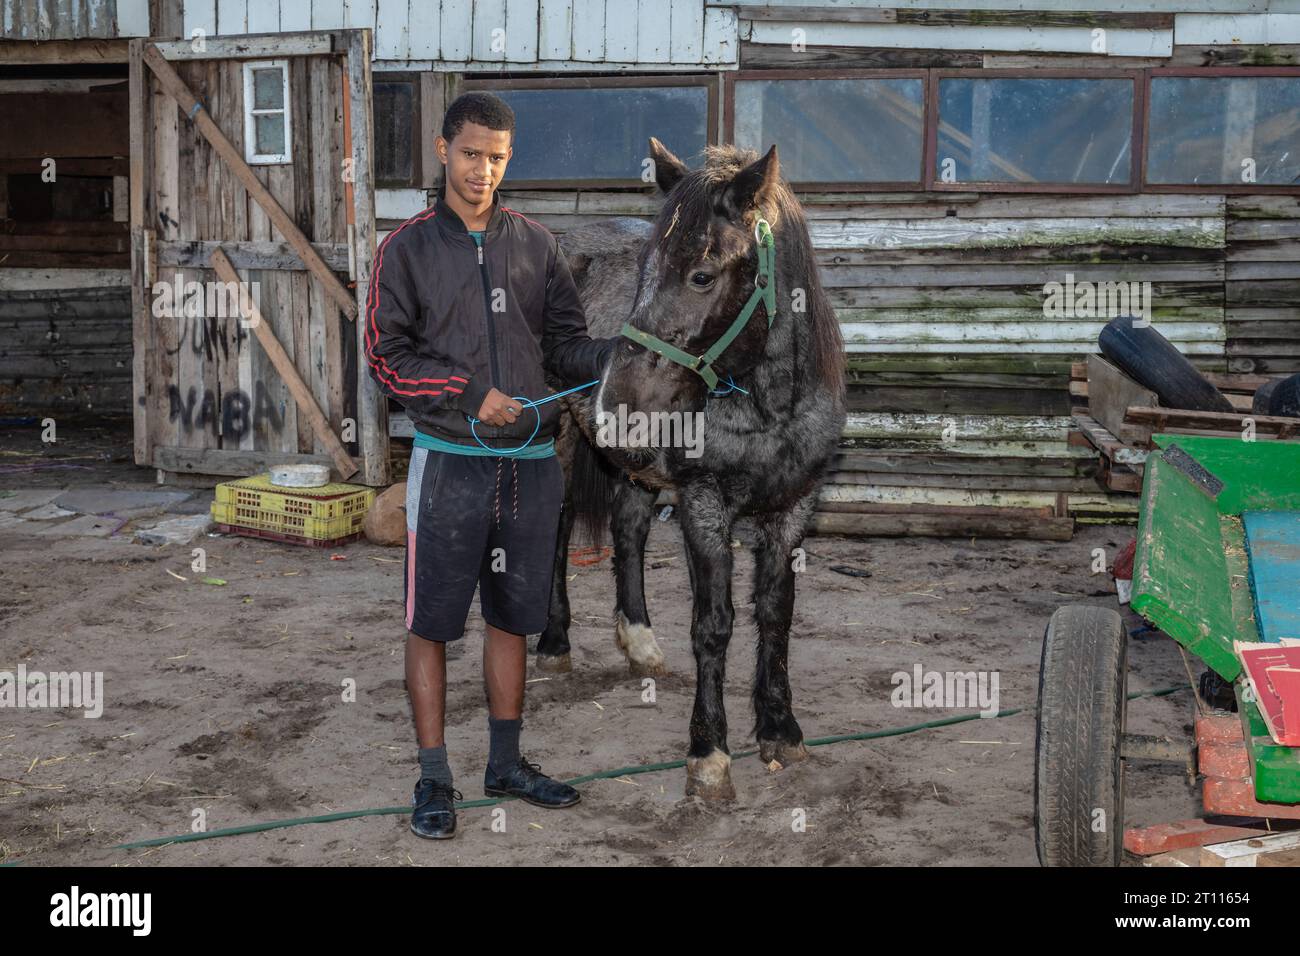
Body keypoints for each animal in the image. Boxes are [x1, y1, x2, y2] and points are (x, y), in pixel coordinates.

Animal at [535, 140, 842, 801]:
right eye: (644, 271)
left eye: (702, 274)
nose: (616, 402)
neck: (767, 407)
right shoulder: (704, 505)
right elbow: (715, 625)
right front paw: (709, 754)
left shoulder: (793, 507)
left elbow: (775, 615)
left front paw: (780, 728)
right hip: (560, 438)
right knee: (559, 529)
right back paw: (554, 641)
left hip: (633, 467)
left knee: (628, 527)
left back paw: (640, 641)